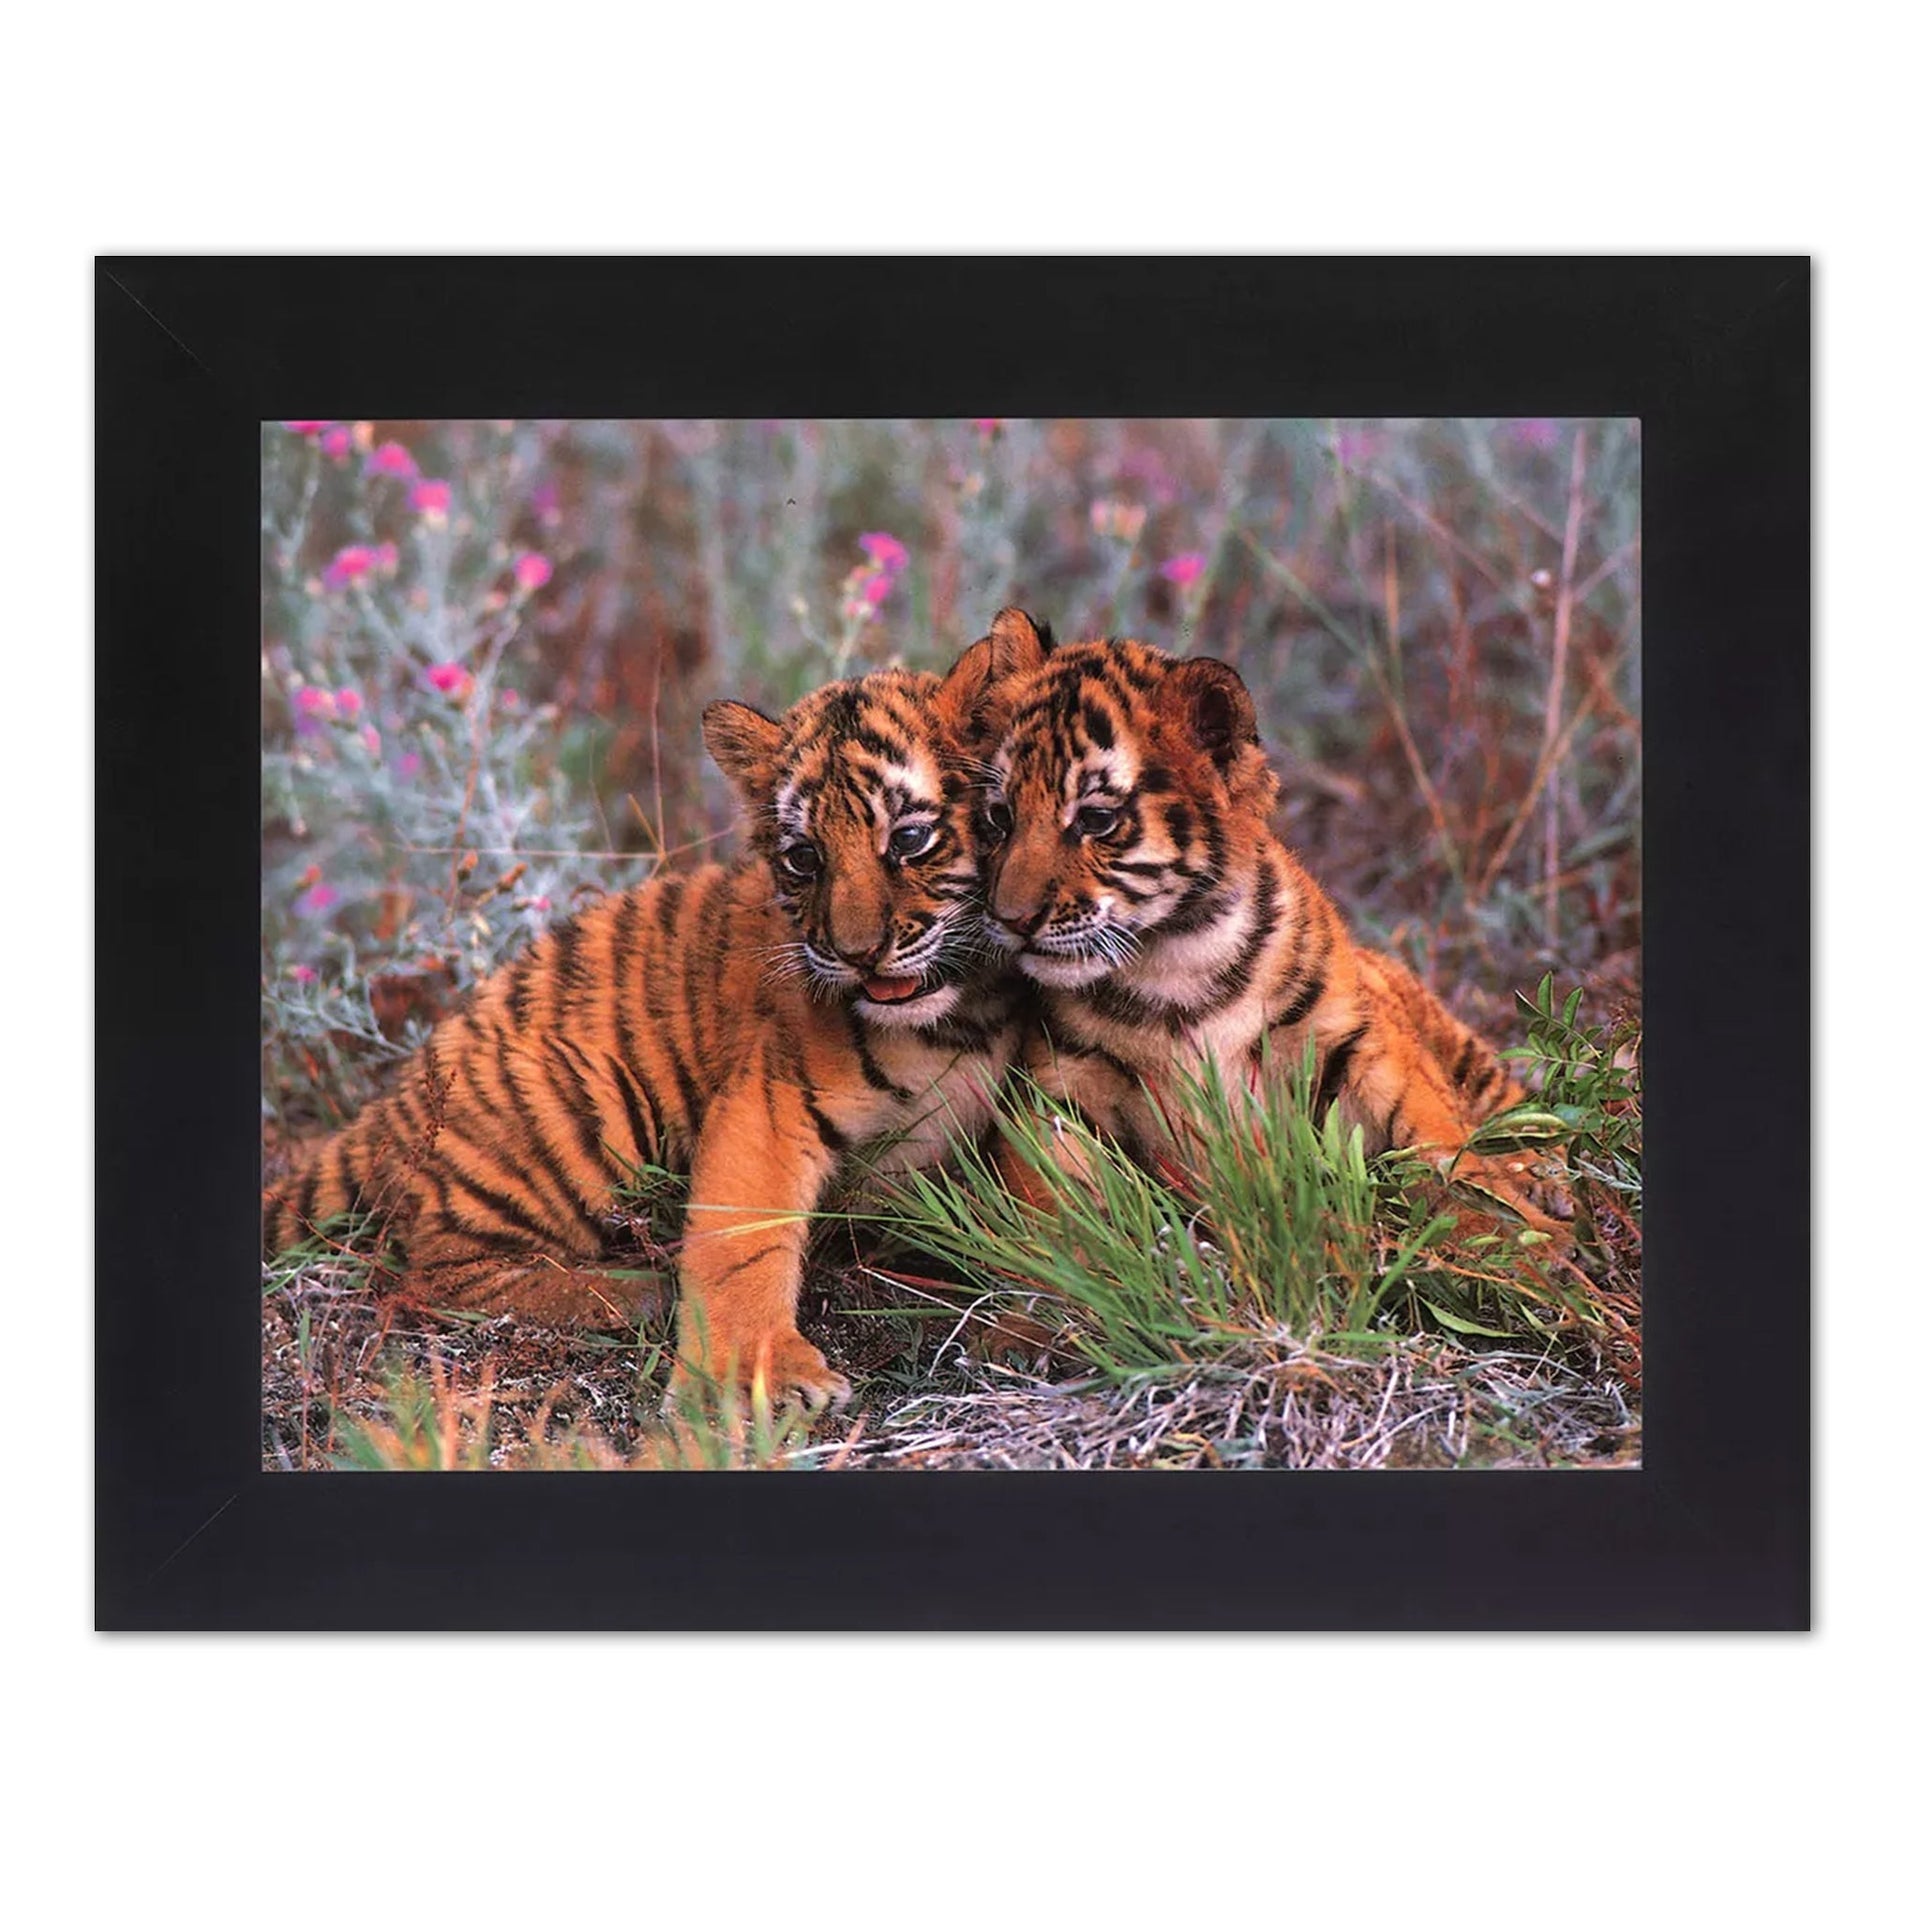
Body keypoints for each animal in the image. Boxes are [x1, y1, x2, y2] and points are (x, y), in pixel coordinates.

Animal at [262, 627, 1050, 1411]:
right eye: (803, 858)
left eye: (910, 840)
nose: (856, 955)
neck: (961, 1009)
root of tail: (388, 1103)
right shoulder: (771, 1102)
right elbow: (742, 1243)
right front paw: (758, 1376)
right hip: (586, 1099)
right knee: (432, 1274)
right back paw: (634, 1292)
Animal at [964, 610, 1556, 1227]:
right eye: (999, 816)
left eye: (1096, 819)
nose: (1010, 918)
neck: (1173, 960)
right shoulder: (1056, 1094)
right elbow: (1052, 1208)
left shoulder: (1362, 1040)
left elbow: (1440, 1145)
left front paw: (1529, 1237)